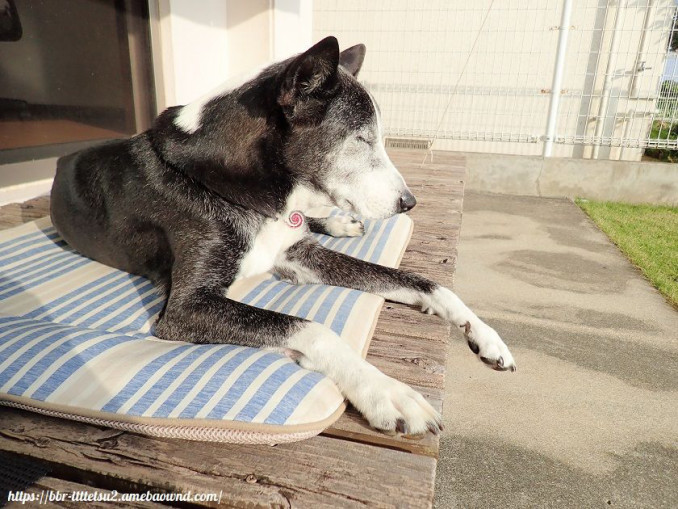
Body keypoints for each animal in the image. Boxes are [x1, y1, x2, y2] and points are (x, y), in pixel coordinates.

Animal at [50, 35, 516, 434]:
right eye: (361, 139)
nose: (410, 203)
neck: (233, 181)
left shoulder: (300, 254)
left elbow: (419, 280)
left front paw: (482, 333)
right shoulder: (185, 309)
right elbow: (313, 329)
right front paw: (386, 391)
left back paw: (337, 222)